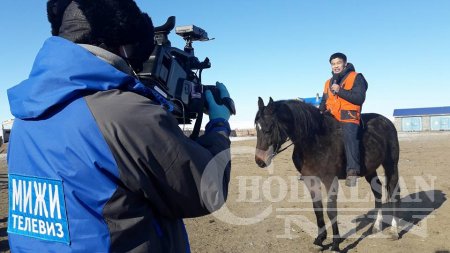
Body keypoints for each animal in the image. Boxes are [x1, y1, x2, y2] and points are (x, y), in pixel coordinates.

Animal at [255, 97, 400, 251]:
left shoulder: (330, 180)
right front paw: (320, 239)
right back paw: (376, 226)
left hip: (391, 165)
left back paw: (394, 231)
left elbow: (331, 210)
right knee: (377, 191)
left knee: (394, 193)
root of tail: (386, 121)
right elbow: (318, 209)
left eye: (269, 128)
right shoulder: (311, 180)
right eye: (256, 127)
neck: (315, 141)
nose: (259, 161)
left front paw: (336, 244)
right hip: (370, 170)